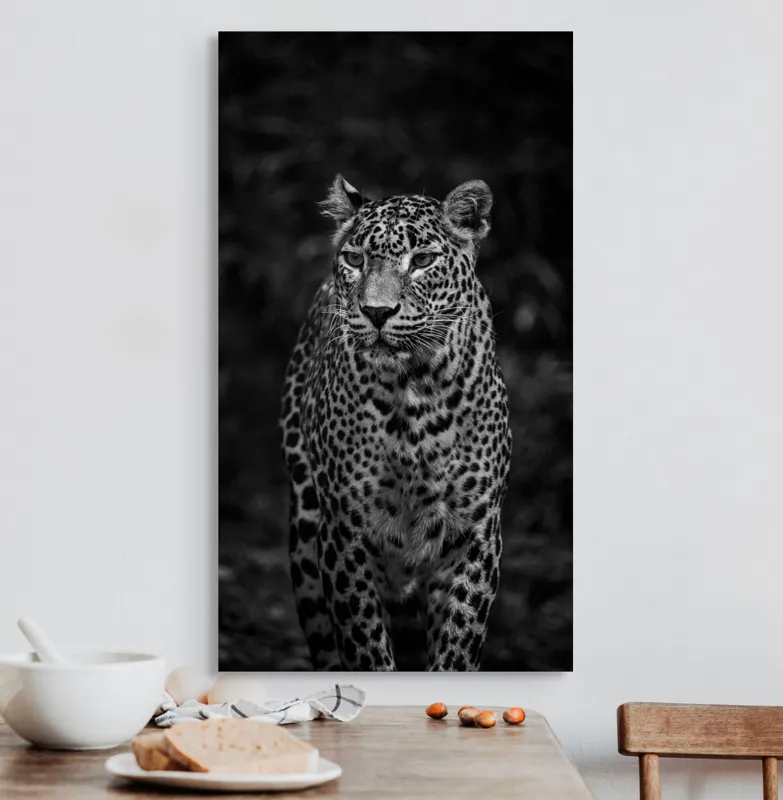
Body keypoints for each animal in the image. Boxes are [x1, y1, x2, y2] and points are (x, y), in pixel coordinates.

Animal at [280, 175, 512, 671]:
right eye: (355, 259)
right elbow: (365, 646)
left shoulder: (475, 537)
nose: (377, 312)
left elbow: (457, 647)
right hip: (306, 531)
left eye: (421, 261)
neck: (413, 391)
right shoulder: (344, 537)